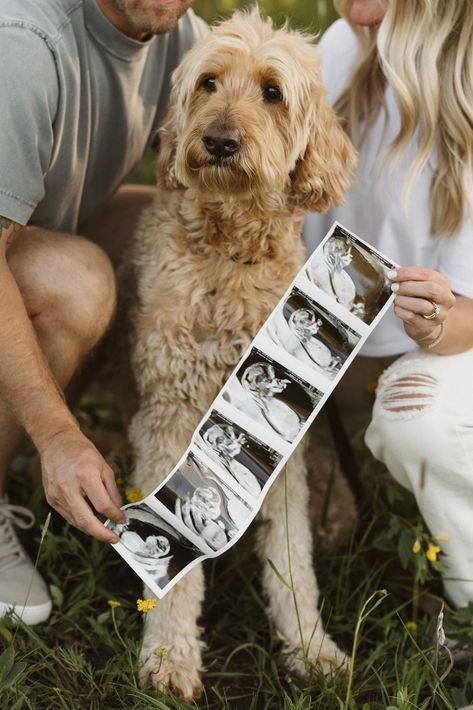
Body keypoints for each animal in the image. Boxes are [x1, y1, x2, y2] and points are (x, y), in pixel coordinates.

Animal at [121, 8, 354, 704]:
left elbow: (292, 554)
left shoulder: (286, 444)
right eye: (208, 83)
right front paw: (169, 658)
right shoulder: (171, 414)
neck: (229, 254)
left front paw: (310, 645)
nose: (220, 141)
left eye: (272, 92)